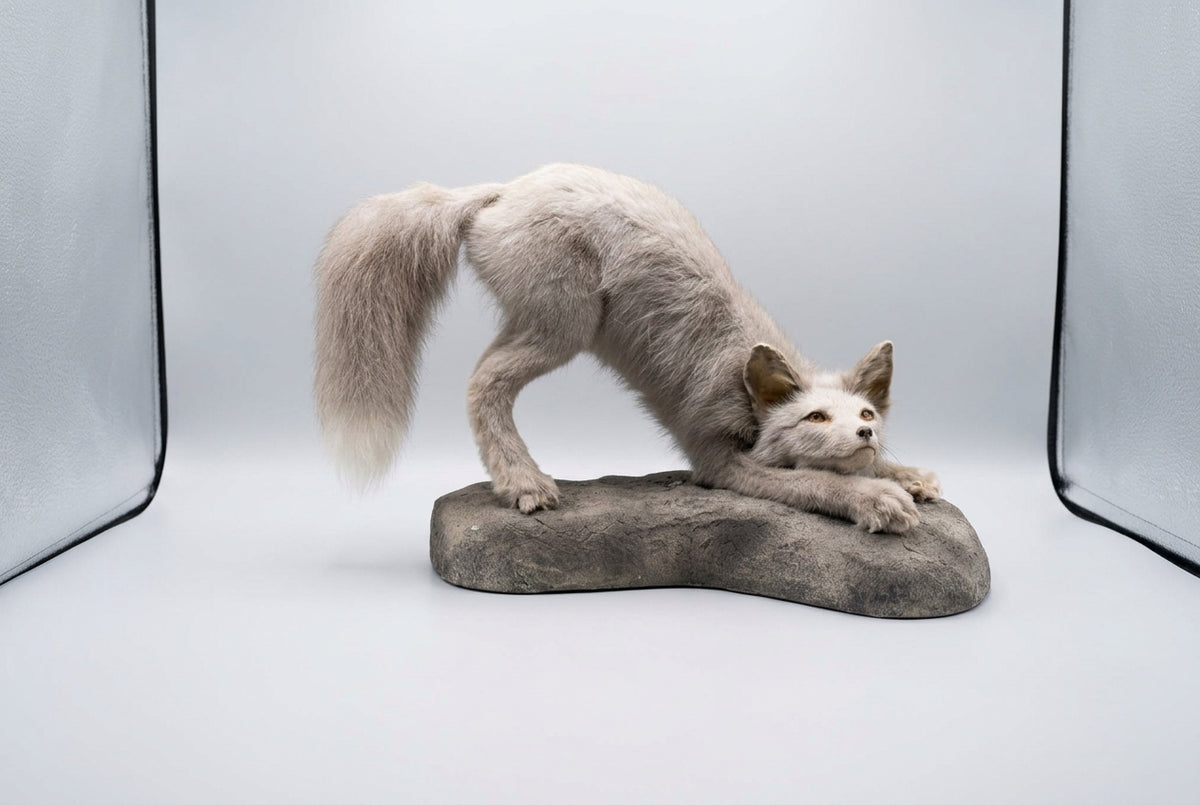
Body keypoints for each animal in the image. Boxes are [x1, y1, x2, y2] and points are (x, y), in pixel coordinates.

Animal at [314, 163, 940, 534]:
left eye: (866, 414)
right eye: (816, 417)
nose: (864, 434)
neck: (741, 388)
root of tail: (500, 191)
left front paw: (906, 475)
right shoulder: (718, 462)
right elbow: (817, 481)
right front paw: (878, 498)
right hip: (564, 326)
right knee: (481, 381)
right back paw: (523, 484)